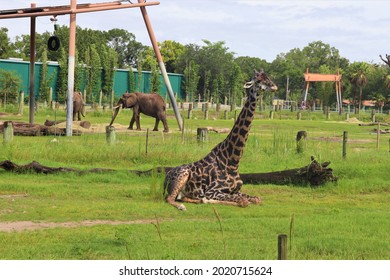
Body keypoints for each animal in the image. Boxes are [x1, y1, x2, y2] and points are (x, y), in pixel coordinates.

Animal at [164, 70, 278, 210]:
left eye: (268, 77)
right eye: (258, 80)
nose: (274, 87)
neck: (233, 161)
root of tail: (166, 176)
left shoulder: (235, 190)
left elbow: (256, 199)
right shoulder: (213, 191)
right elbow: (243, 201)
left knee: (185, 197)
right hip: (183, 175)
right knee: (170, 198)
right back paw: (182, 206)